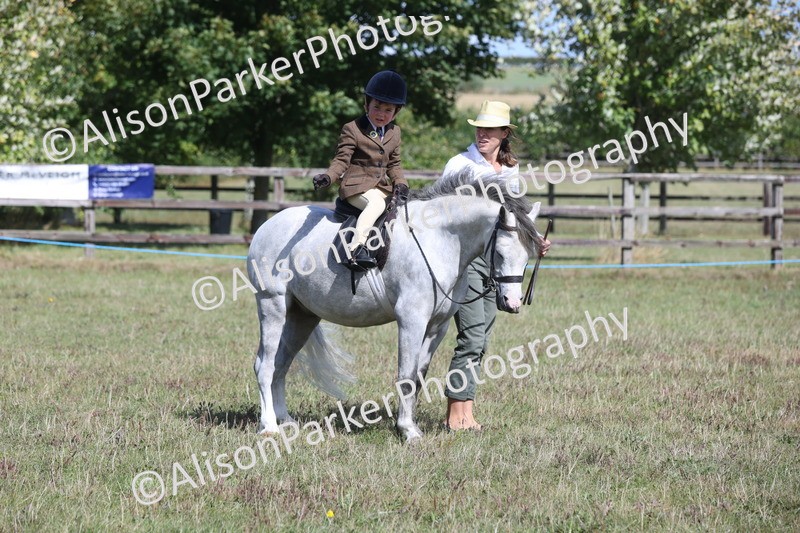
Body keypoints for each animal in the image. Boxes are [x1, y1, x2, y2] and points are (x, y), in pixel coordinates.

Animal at [246, 170, 544, 442]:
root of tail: (267, 226)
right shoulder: (411, 321)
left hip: (302, 317)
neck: (437, 239)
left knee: (281, 365)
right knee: (265, 365)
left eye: (528, 256)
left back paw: (285, 420)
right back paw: (269, 427)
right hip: (272, 307)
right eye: (501, 254)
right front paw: (407, 430)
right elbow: (406, 375)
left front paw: (408, 424)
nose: (512, 303)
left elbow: (419, 376)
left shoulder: (437, 327)